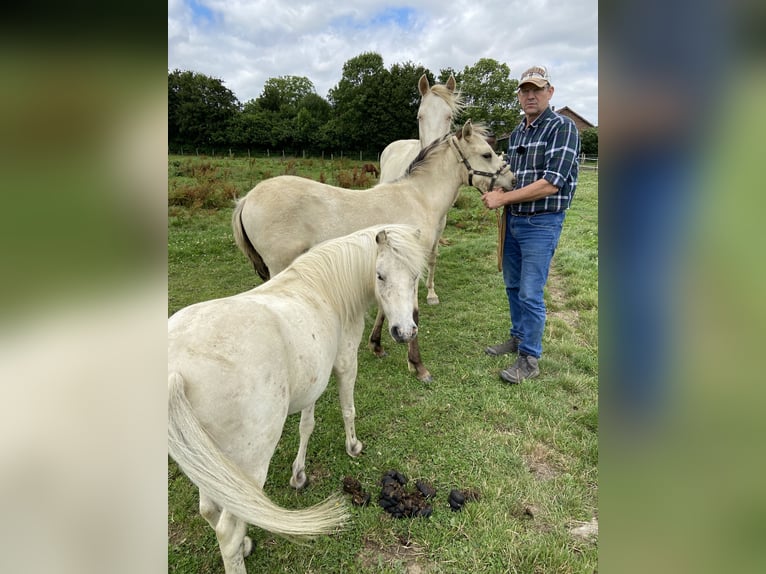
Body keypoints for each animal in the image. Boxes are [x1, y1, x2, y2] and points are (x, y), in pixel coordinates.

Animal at [169, 224, 428, 574]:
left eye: (414, 276)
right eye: (380, 275)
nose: (405, 332)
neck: (325, 289)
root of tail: (176, 369)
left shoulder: (312, 381)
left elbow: (307, 424)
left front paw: (299, 475)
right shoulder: (346, 363)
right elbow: (348, 409)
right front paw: (353, 446)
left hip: (211, 460)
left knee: (211, 508)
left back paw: (246, 544)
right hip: (250, 461)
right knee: (227, 530)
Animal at [232, 120, 515, 383]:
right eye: (487, 154)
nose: (512, 181)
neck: (419, 198)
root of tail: (247, 198)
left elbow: (386, 306)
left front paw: (377, 345)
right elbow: (412, 313)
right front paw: (418, 366)